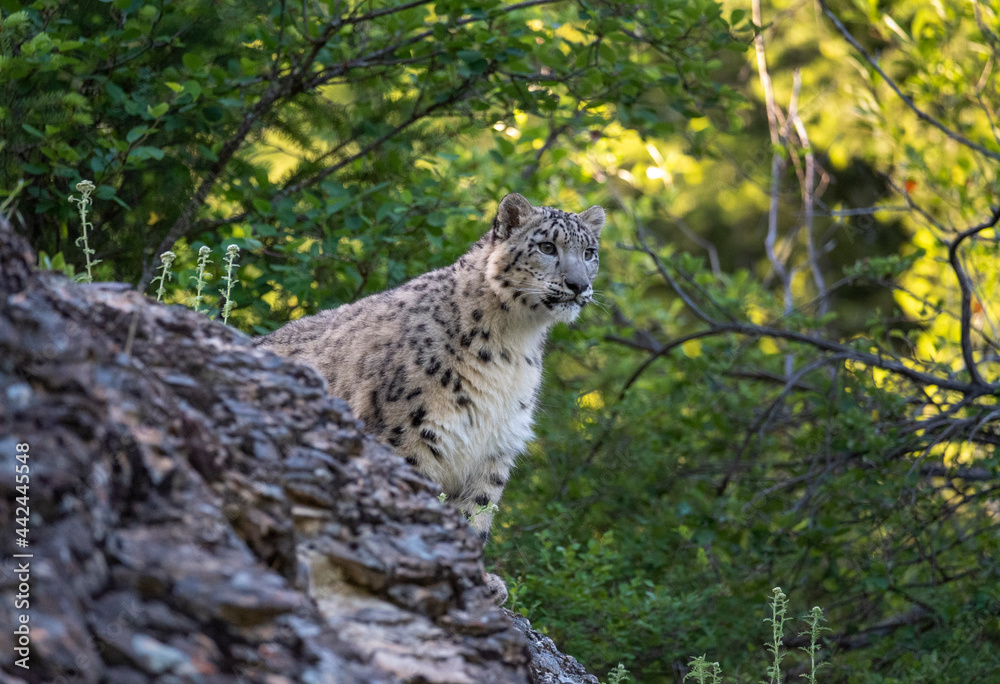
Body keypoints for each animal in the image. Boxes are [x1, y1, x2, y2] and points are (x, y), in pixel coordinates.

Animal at [254, 192, 604, 603]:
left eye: (589, 252)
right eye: (547, 247)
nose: (579, 285)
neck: (515, 344)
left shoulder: (495, 446)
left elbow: (476, 513)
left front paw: (481, 581)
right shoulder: (409, 434)